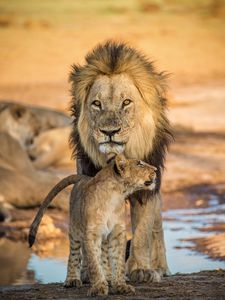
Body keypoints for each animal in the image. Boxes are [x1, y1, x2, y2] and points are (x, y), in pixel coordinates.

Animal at [69, 40, 172, 282]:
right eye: (96, 104)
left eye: (126, 102)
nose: (109, 132)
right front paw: (95, 271)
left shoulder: (148, 187)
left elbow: (143, 230)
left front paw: (141, 270)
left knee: (157, 226)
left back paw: (161, 267)